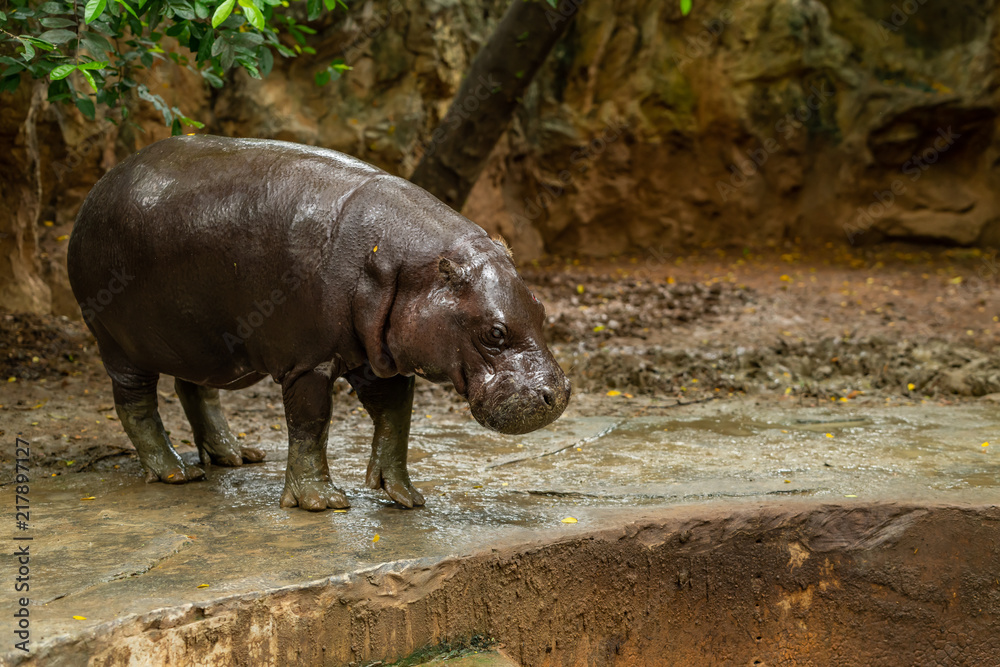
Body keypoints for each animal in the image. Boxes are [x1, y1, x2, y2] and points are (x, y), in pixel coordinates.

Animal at [67, 135, 570, 511]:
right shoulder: (309, 361)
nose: (559, 394)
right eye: (495, 333)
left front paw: (406, 496)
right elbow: (312, 424)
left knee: (196, 390)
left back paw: (237, 457)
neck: (398, 265)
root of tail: (98, 187)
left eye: (541, 308)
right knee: (135, 404)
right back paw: (174, 472)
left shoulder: (379, 356)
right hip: (120, 343)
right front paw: (322, 502)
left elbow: (396, 419)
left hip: (200, 339)